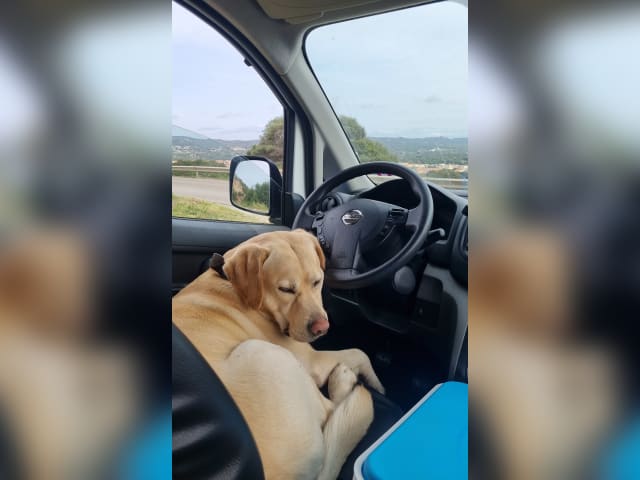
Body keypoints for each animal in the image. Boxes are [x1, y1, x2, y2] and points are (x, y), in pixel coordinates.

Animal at [173, 229, 384, 480]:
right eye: (286, 290)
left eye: (317, 282)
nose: (322, 328)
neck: (233, 285)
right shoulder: (311, 361)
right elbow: (360, 353)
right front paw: (378, 383)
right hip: (263, 353)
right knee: (332, 409)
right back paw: (343, 382)